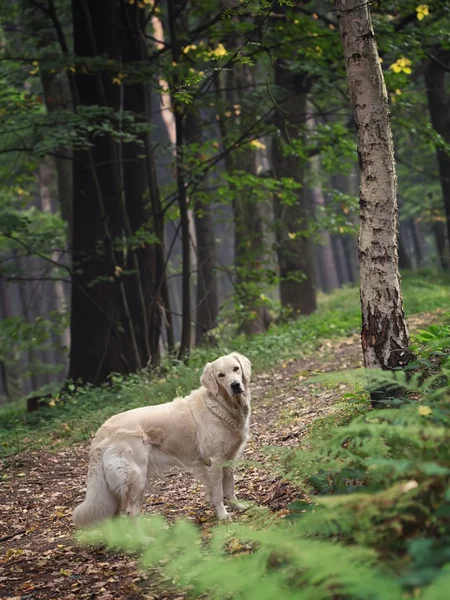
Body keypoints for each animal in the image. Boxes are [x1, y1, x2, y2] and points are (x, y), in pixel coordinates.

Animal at [72, 350, 251, 528]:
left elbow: (230, 488)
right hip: (136, 477)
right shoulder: (213, 462)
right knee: (131, 512)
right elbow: (218, 493)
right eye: (220, 375)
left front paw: (237, 506)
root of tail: (102, 430)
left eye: (236, 368)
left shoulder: (229, 459)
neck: (222, 405)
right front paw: (223, 515)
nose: (235, 385)